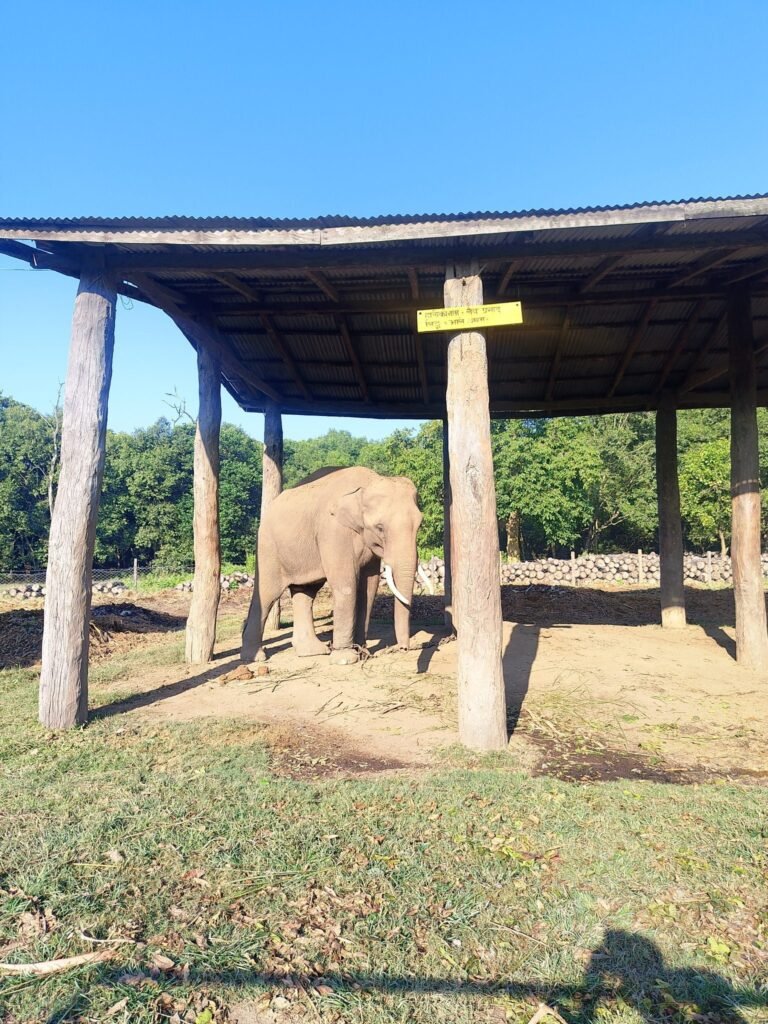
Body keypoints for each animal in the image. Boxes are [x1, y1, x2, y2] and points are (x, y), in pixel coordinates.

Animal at [241, 466, 422, 665]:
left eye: (419, 525)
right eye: (380, 527)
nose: (403, 648)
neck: (366, 484)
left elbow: (369, 587)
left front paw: (362, 652)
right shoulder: (333, 532)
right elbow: (346, 585)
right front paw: (346, 659)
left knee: (305, 592)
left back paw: (313, 652)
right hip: (268, 548)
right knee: (267, 594)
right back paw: (255, 658)